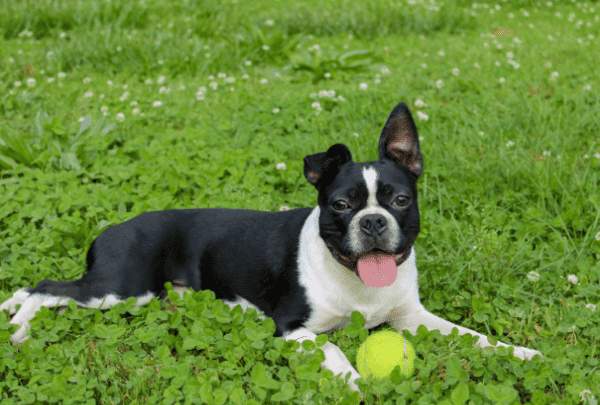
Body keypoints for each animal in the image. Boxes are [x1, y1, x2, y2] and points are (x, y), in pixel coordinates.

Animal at [0, 102, 540, 394]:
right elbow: (336, 351)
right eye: (341, 204)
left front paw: (522, 352)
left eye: (401, 200)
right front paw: (356, 383)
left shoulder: (412, 317)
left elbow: (471, 336)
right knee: (45, 287)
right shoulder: (294, 328)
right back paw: (20, 328)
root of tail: (113, 227)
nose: (372, 222)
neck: (357, 283)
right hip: (120, 288)